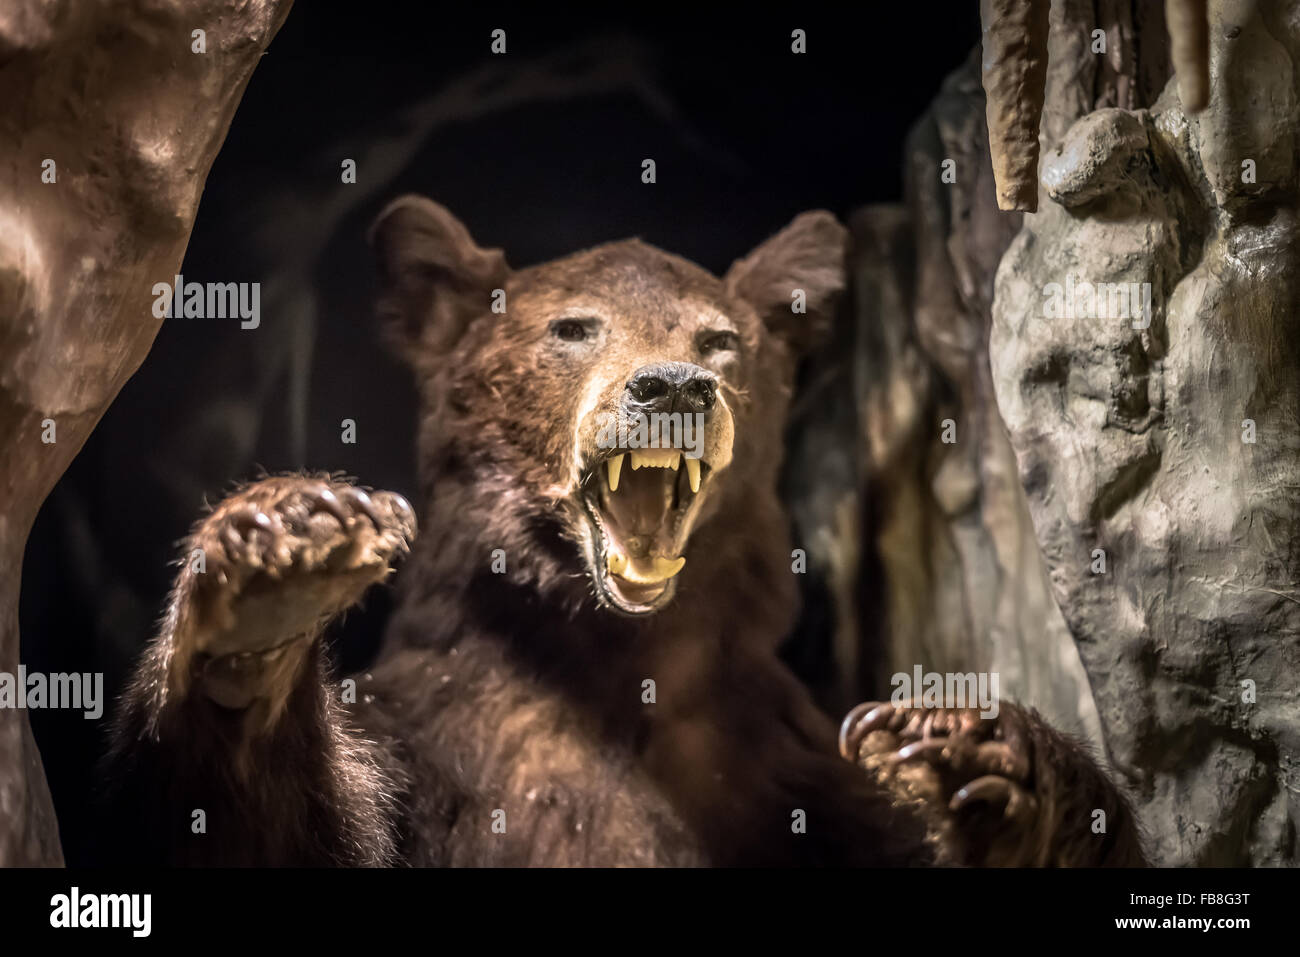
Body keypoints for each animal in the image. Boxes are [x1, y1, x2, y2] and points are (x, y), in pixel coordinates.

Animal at [96, 200, 1144, 868]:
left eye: (720, 338)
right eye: (573, 327)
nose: (673, 386)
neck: (609, 660)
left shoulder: (789, 773)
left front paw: (980, 757)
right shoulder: (431, 758)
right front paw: (273, 571)